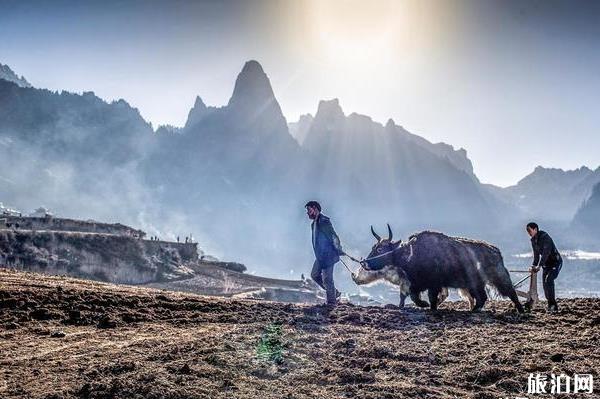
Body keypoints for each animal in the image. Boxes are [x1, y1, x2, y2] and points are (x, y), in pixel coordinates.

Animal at [358, 227, 524, 314]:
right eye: (374, 247)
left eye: (380, 248)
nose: (364, 263)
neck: (410, 253)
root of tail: (496, 251)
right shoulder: (416, 284)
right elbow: (414, 297)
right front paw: (424, 305)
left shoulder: (434, 285)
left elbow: (431, 298)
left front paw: (430, 307)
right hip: (475, 285)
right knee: (481, 298)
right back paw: (472, 310)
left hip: (497, 279)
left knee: (511, 293)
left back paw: (521, 310)